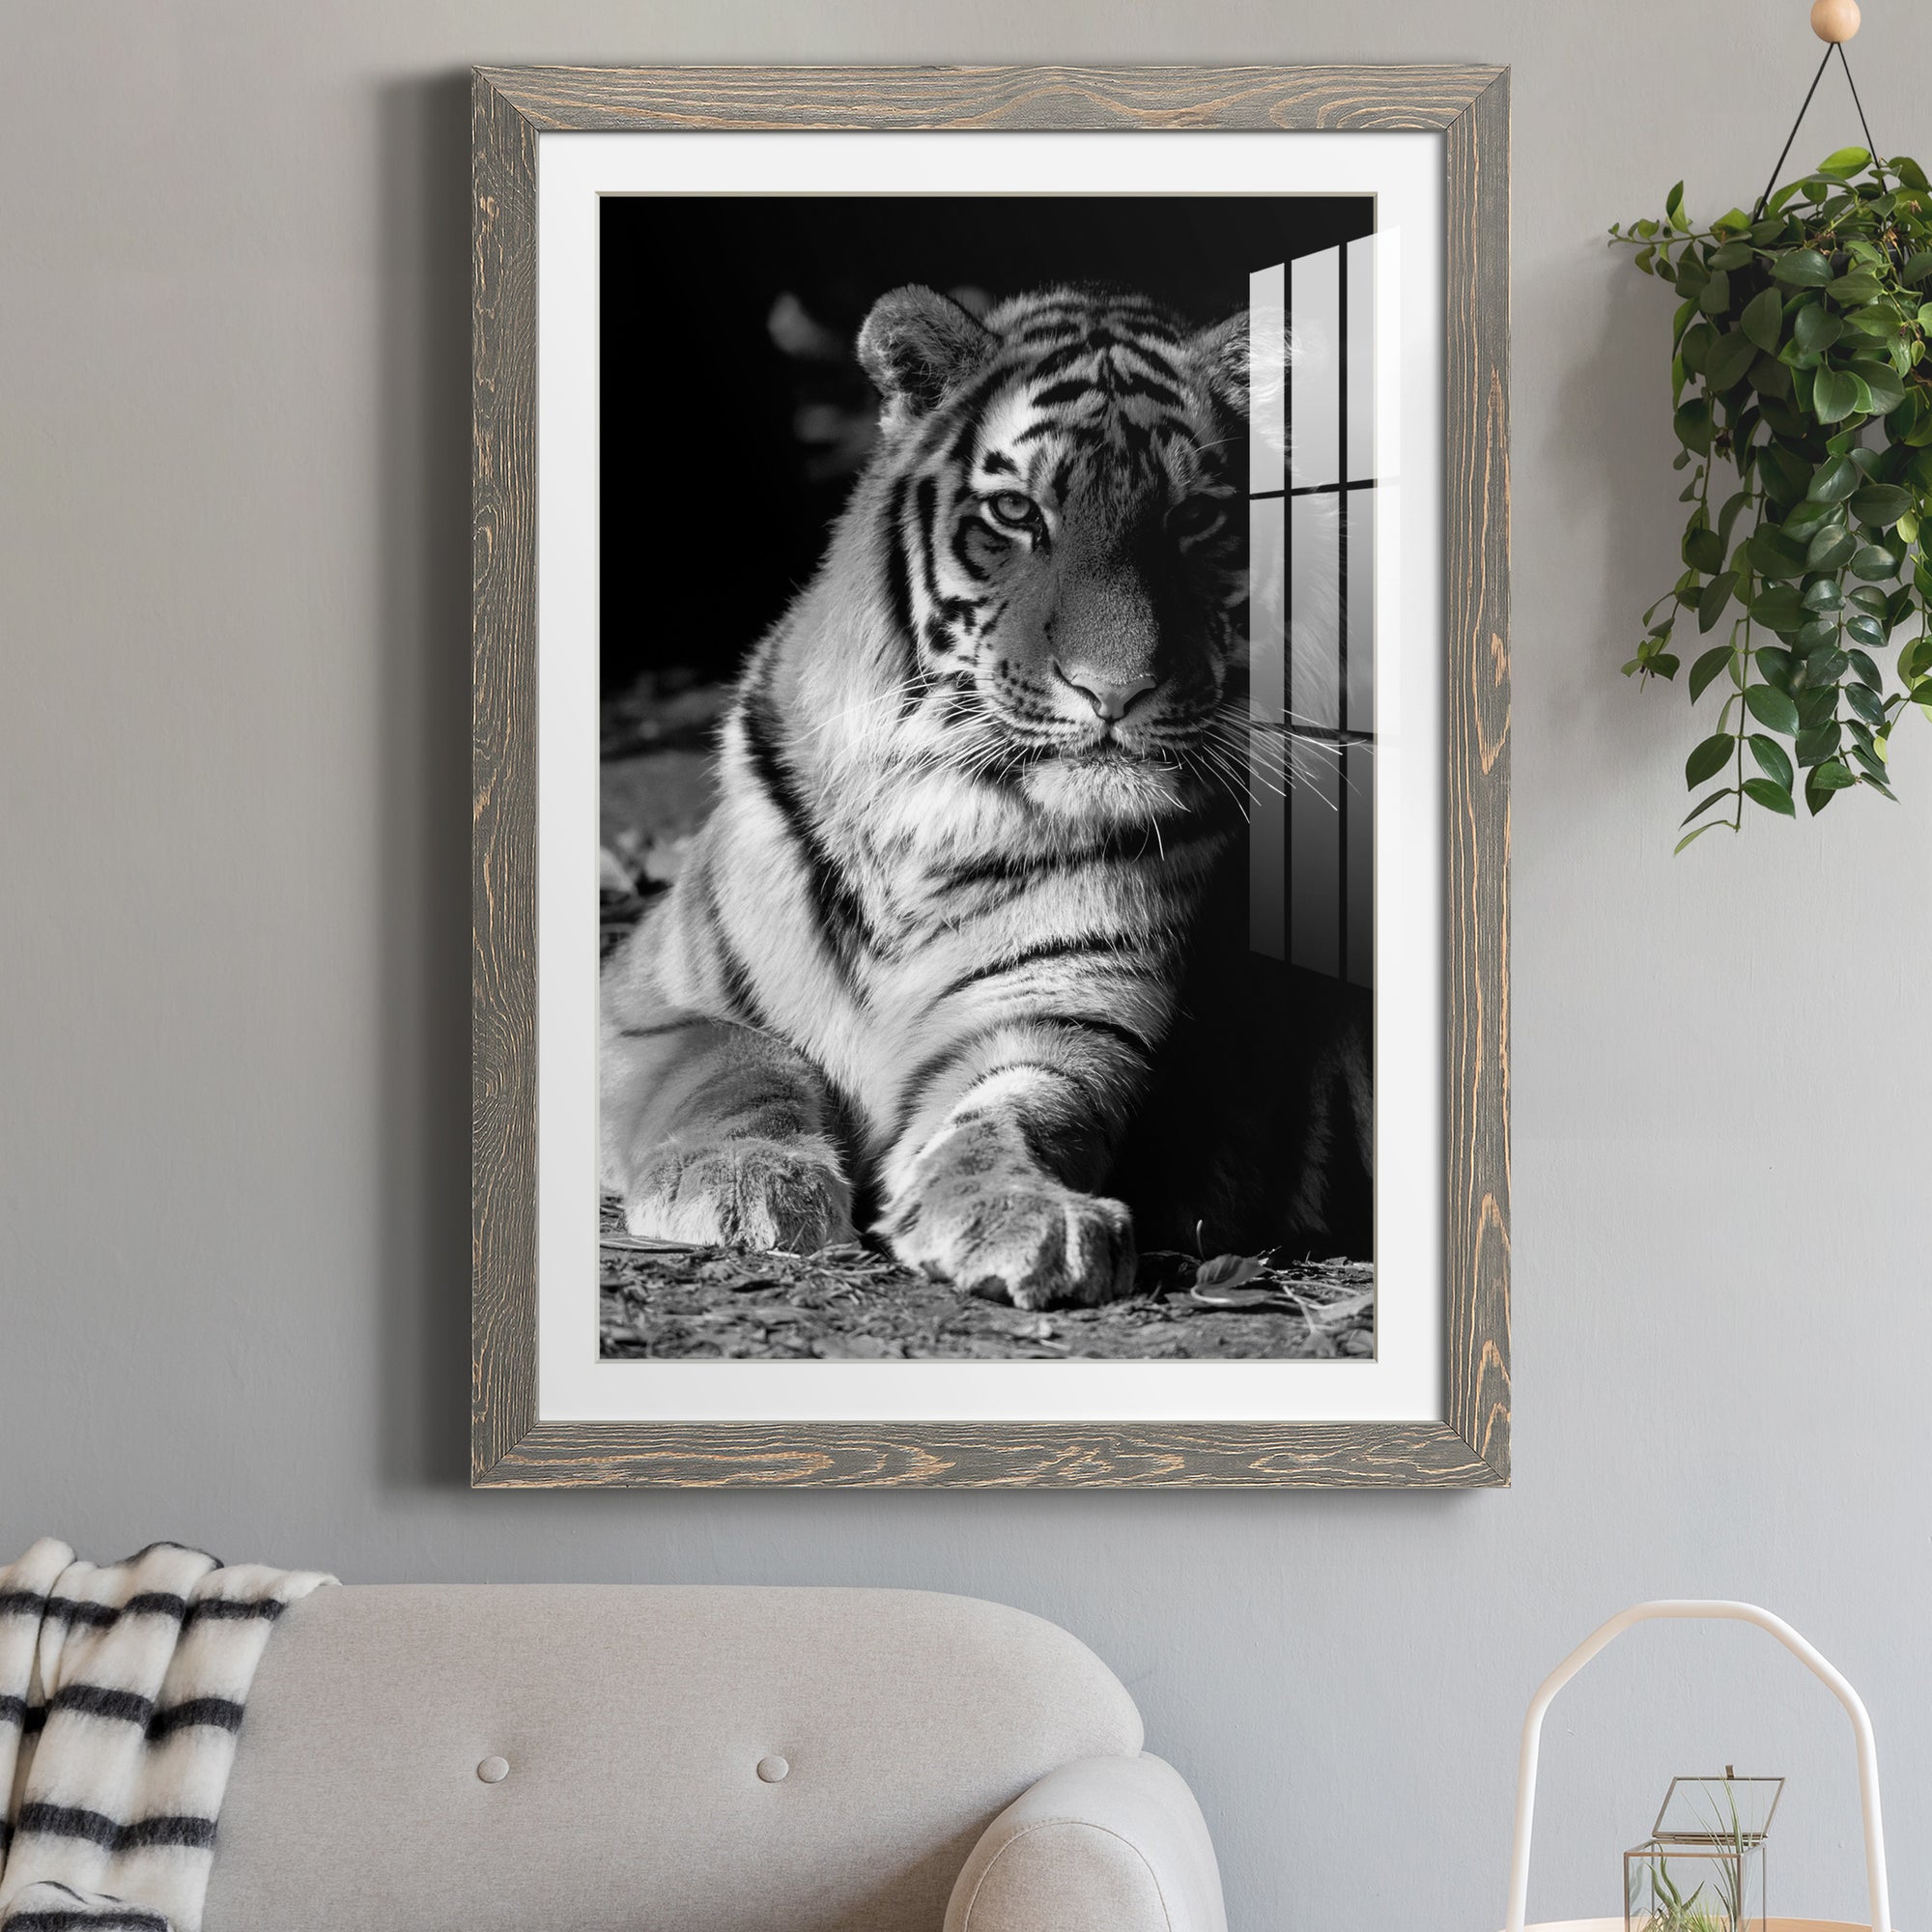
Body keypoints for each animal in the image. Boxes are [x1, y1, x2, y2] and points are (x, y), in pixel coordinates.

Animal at [600, 280, 1372, 1310]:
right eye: (1016, 512)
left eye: (1195, 520)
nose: (1115, 691)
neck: (938, 812)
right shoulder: (642, 999)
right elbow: (737, 1061)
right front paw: (743, 1182)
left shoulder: (1060, 1018)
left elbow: (1013, 1113)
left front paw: (1024, 1215)